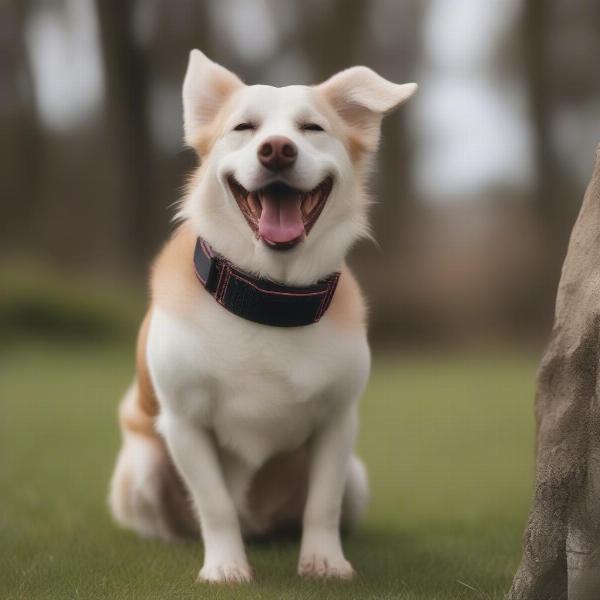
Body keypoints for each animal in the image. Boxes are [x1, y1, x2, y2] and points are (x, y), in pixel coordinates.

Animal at [109, 49, 418, 584]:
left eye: (312, 128)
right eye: (244, 128)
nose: (276, 150)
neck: (269, 296)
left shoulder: (338, 422)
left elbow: (322, 505)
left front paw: (324, 560)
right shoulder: (184, 425)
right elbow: (214, 505)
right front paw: (225, 566)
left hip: (357, 478)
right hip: (144, 468)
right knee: (174, 520)